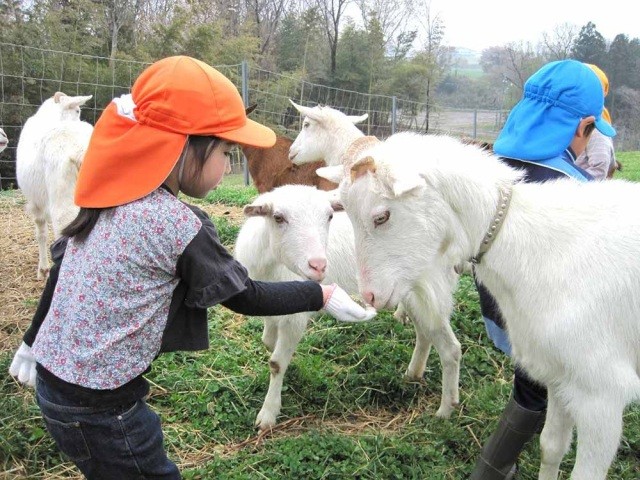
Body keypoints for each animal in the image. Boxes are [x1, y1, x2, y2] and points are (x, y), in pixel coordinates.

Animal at [234, 184, 460, 432]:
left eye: (330, 216)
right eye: (277, 217)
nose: (319, 265)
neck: (271, 263)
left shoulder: (295, 318)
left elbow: (276, 363)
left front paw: (268, 414)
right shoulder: (270, 302)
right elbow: (268, 341)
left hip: (430, 291)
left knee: (450, 348)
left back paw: (445, 411)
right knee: (425, 332)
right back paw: (414, 373)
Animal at [338, 129, 640, 478]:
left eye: (381, 216)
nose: (370, 295)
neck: (536, 245)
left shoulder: (601, 392)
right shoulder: (558, 374)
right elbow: (550, 447)